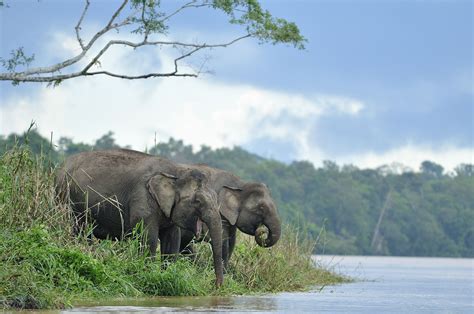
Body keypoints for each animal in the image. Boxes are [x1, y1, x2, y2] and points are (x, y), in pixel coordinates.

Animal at [54, 150, 225, 288]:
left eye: (217, 198)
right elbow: (149, 239)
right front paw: (148, 274)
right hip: (67, 200)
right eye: (198, 201)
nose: (216, 286)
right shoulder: (143, 200)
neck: (176, 170)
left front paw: (166, 274)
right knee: (79, 232)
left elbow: (172, 241)